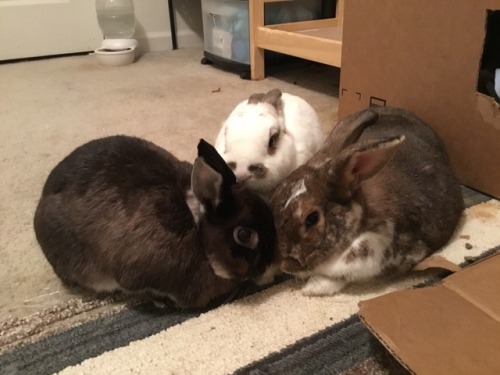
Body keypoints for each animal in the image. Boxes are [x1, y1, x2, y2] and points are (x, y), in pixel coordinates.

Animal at [34, 135, 278, 308]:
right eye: (244, 235)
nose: (269, 265)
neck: (196, 228)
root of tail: (40, 205)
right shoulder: (136, 275)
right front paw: (160, 301)